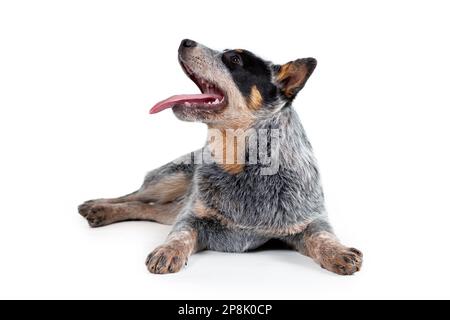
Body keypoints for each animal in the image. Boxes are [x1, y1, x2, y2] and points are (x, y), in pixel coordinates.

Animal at [79, 39, 364, 276]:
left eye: (235, 59)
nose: (185, 40)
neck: (240, 164)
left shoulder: (309, 219)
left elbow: (323, 236)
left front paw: (339, 252)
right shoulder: (192, 215)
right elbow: (180, 233)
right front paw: (168, 250)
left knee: (149, 209)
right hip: (169, 178)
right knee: (135, 196)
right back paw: (96, 206)